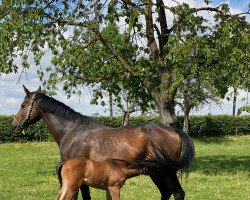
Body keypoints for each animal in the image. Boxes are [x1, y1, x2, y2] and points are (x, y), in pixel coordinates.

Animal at [11, 86, 195, 200]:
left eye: (23, 104)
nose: (14, 125)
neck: (73, 131)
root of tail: (175, 131)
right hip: (155, 172)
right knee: (166, 193)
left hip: (167, 173)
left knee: (178, 193)